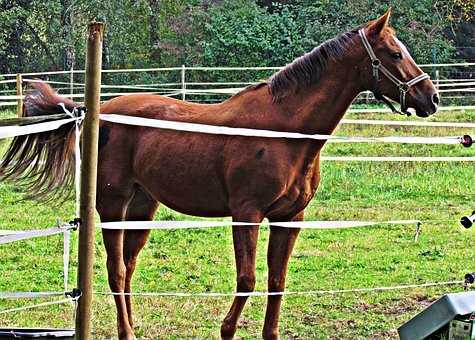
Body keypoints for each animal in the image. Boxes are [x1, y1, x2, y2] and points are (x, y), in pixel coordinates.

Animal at [0, 10, 438, 340]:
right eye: (394, 53)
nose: (430, 98)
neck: (284, 130)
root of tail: (96, 112)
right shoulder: (247, 214)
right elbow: (247, 278)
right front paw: (227, 330)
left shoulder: (290, 218)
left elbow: (277, 280)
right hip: (113, 205)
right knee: (117, 269)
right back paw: (127, 332)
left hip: (143, 205)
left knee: (128, 269)